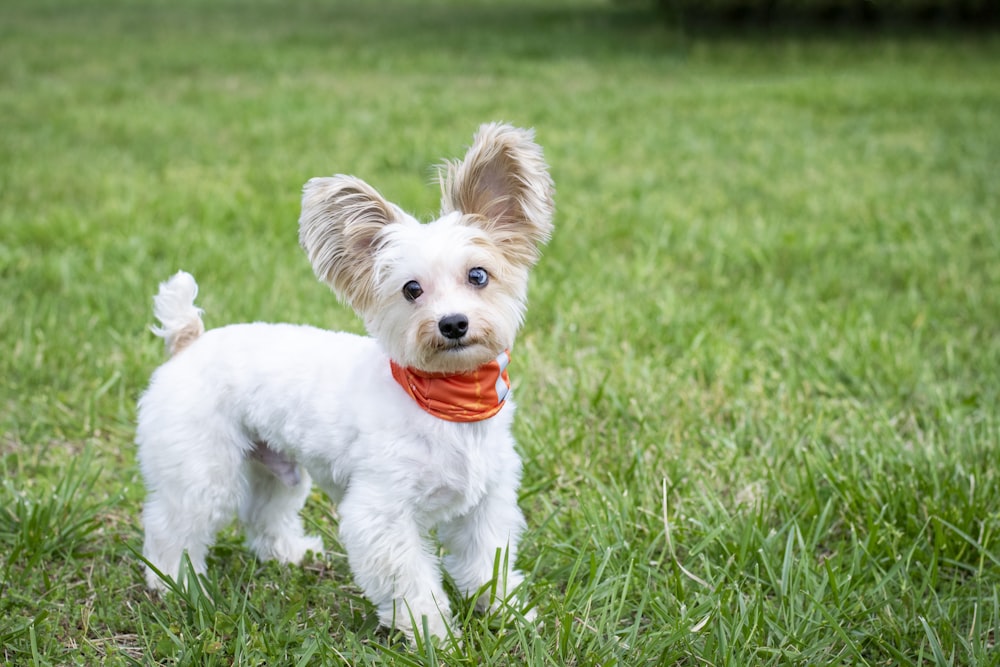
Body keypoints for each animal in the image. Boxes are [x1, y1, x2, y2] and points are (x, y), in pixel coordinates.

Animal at [134, 122, 556, 640]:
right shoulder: (382, 515)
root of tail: (189, 338)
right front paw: (434, 636)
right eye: (411, 290)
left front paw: (508, 613)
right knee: (171, 528)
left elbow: (486, 565)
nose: (453, 323)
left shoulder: (486, 505)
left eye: (479, 275)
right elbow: (412, 583)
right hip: (200, 472)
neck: (447, 400)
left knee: (263, 513)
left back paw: (288, 554)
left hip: (277, 467)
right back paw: (174, 584)